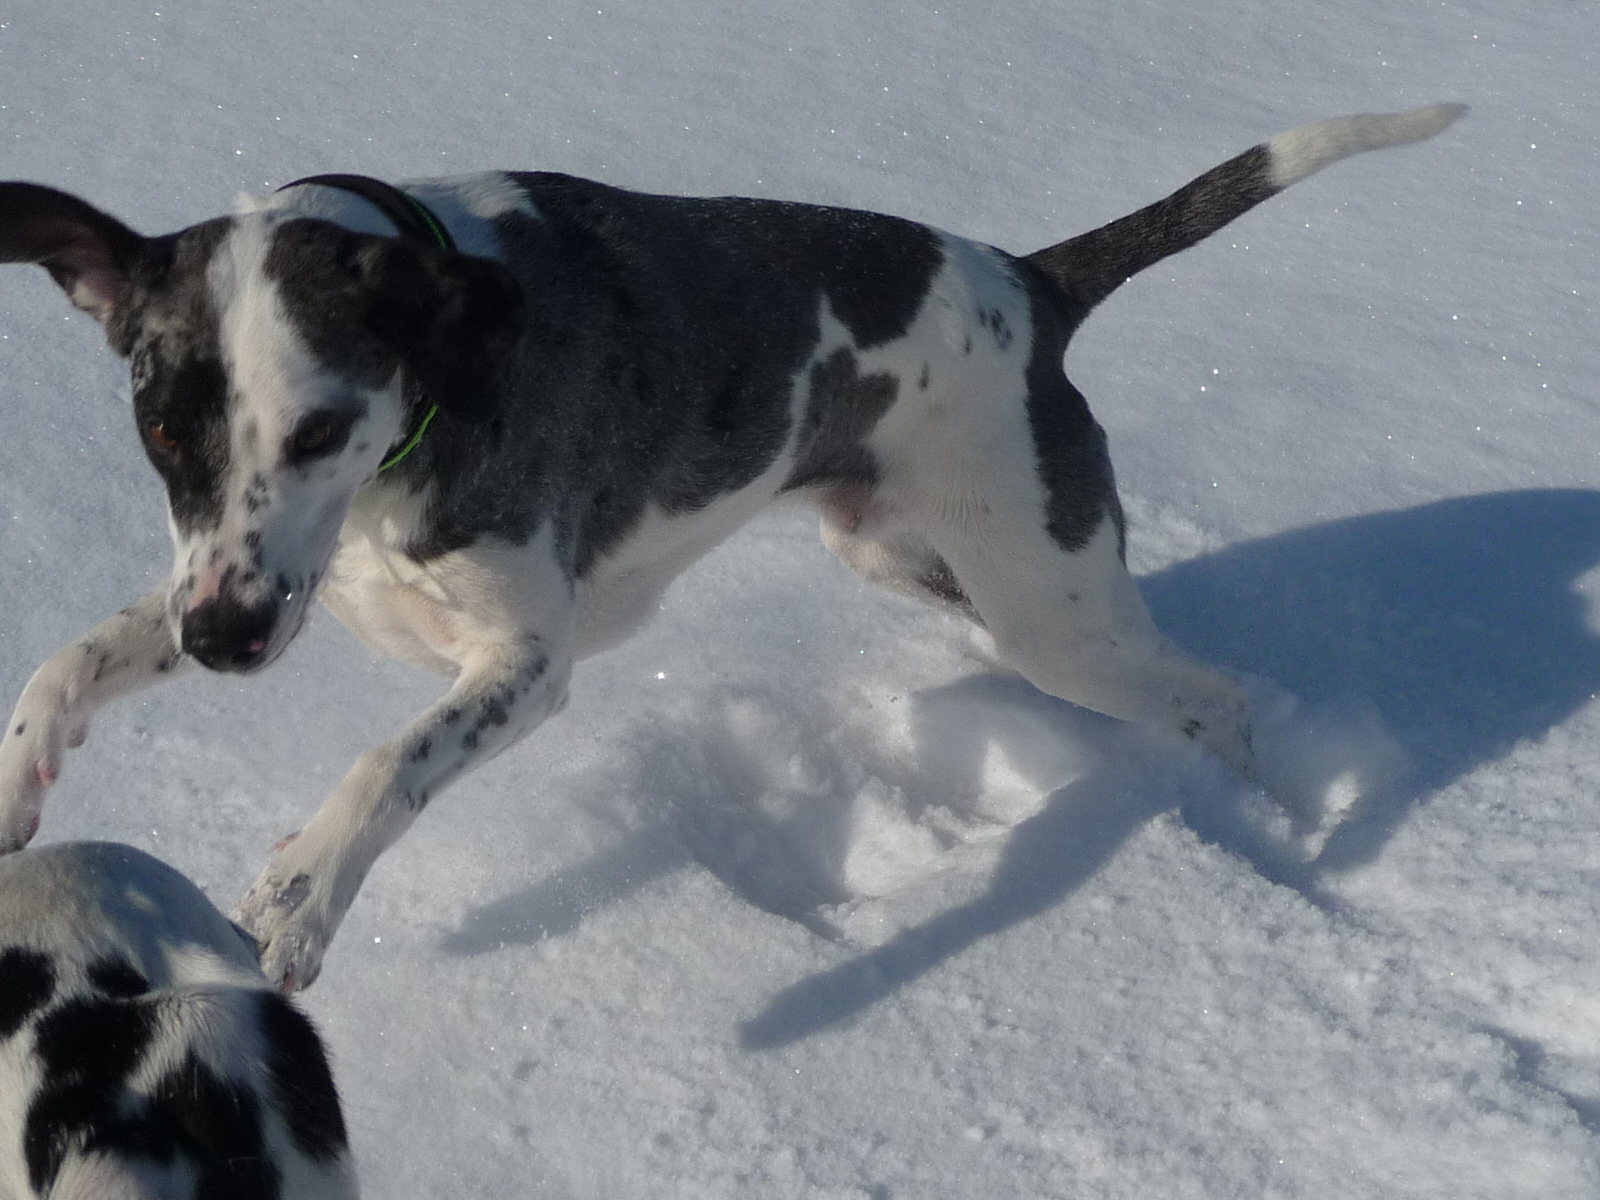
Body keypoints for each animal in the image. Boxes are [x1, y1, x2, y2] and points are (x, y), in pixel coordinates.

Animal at [0, 103, 1465, 992]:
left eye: (318, 426)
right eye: (160, 426)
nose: (225, 646)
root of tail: (1032, 282)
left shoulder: (524, 664)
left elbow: (384, 764)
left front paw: (300, 898)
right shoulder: (250, 578)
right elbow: (69, 661)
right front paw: (20, 789)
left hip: (1052, 604)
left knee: (1214, 697)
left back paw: (1277, 821)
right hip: (920, 560)